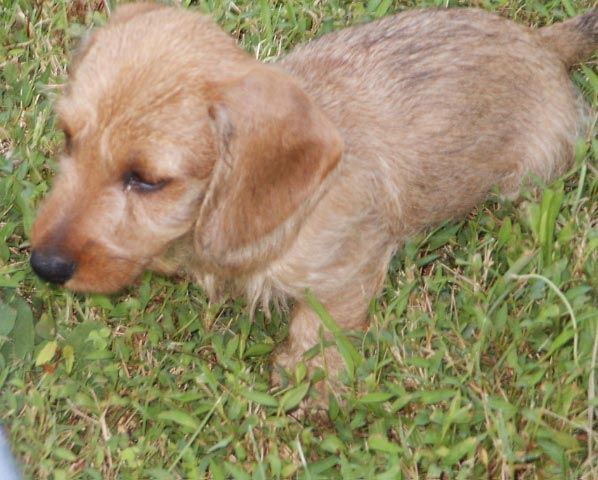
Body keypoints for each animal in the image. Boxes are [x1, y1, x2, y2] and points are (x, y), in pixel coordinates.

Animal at [31, 2, 598, 402]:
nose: (43, 266)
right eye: (68, 138)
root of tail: (541, 42)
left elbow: (322, 322)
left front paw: (314, 378)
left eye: (147, 180)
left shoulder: (350, 265)